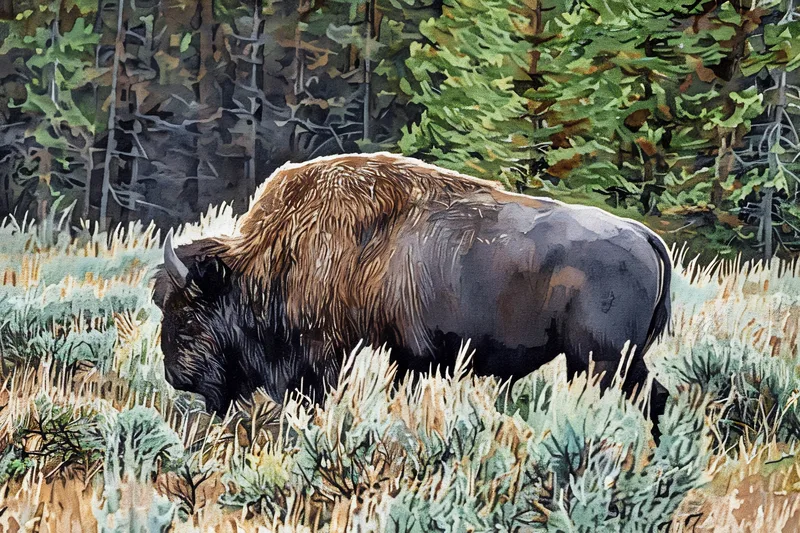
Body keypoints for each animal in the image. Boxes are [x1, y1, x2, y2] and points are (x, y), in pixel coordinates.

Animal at [153, 152, 672, 434]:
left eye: (189, 311)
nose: (176, 376)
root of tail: (643, 236)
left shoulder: (350, 355)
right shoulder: (403, 356)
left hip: (602, 359)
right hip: (606, 361)